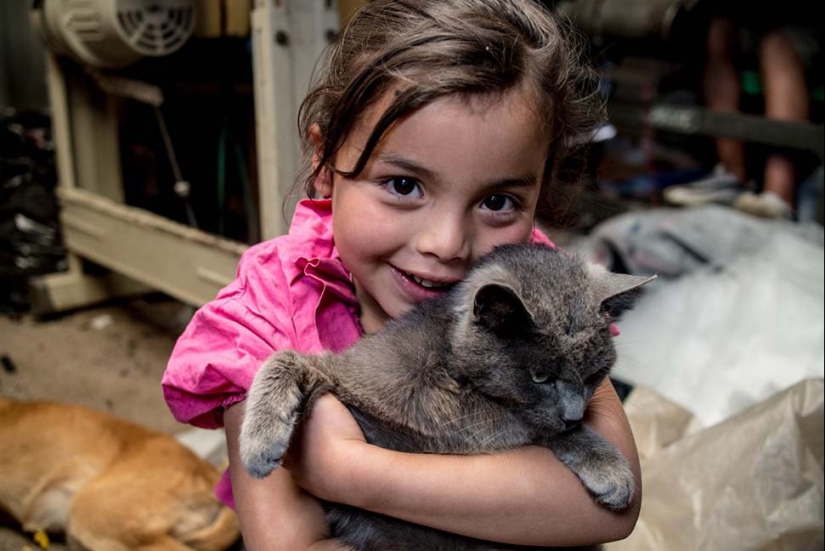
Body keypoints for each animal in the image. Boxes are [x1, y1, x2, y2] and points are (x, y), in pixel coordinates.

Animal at [241, 247, 652, 551]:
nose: (574, 414)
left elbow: (536, 427)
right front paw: (258, 447)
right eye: (540, 377)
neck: (453, 379)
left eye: (593, 375)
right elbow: (283, 358)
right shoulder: (343, 376)